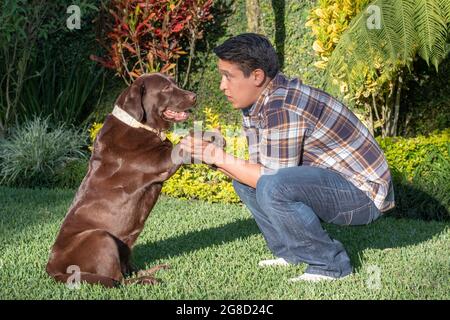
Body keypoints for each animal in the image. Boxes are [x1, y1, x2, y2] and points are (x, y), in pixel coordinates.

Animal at [45, 74, 197, 288]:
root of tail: (52, 268)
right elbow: (181, 145)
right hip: (101, 237)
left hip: (123, 246)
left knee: (126, 271)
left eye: (175, 83)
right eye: (166, 88)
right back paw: (148, 279)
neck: (137, 123)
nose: (194, 96)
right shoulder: (160, 161)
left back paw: (153, 270)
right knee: (118, 280)